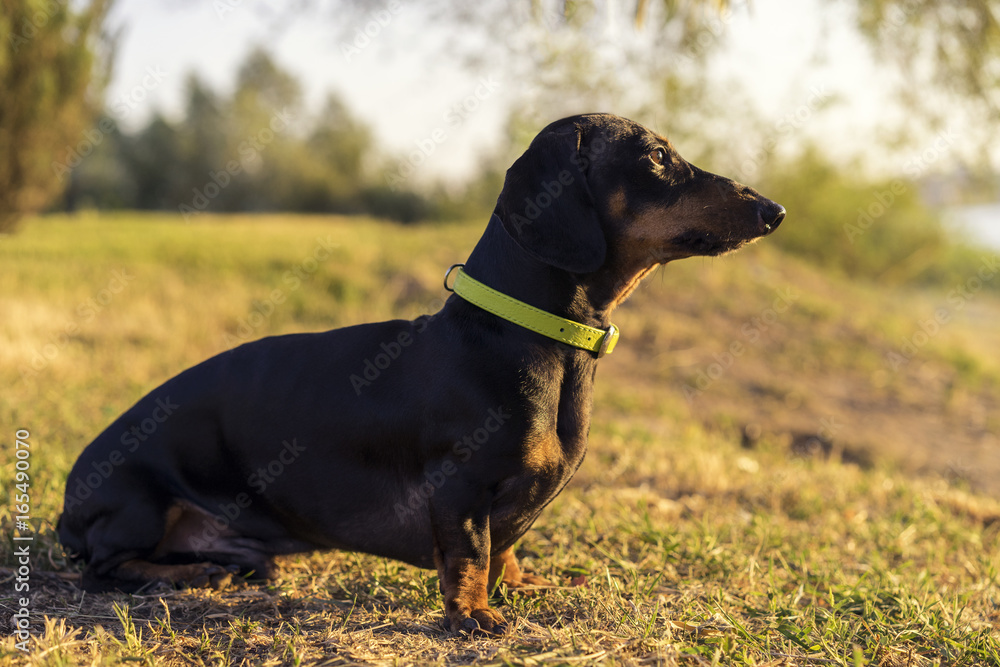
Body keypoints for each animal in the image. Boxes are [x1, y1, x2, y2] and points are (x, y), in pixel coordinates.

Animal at [58, 113, 784, 636]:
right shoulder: (458, 483)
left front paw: (523, 584)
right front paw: (474, 614)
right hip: (140, 503)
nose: (773, 210)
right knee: (104, 567)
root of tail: (69, 501)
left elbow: (504, 547)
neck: (525, 337)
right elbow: (471, 552)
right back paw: (188, 576)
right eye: (657, 156)